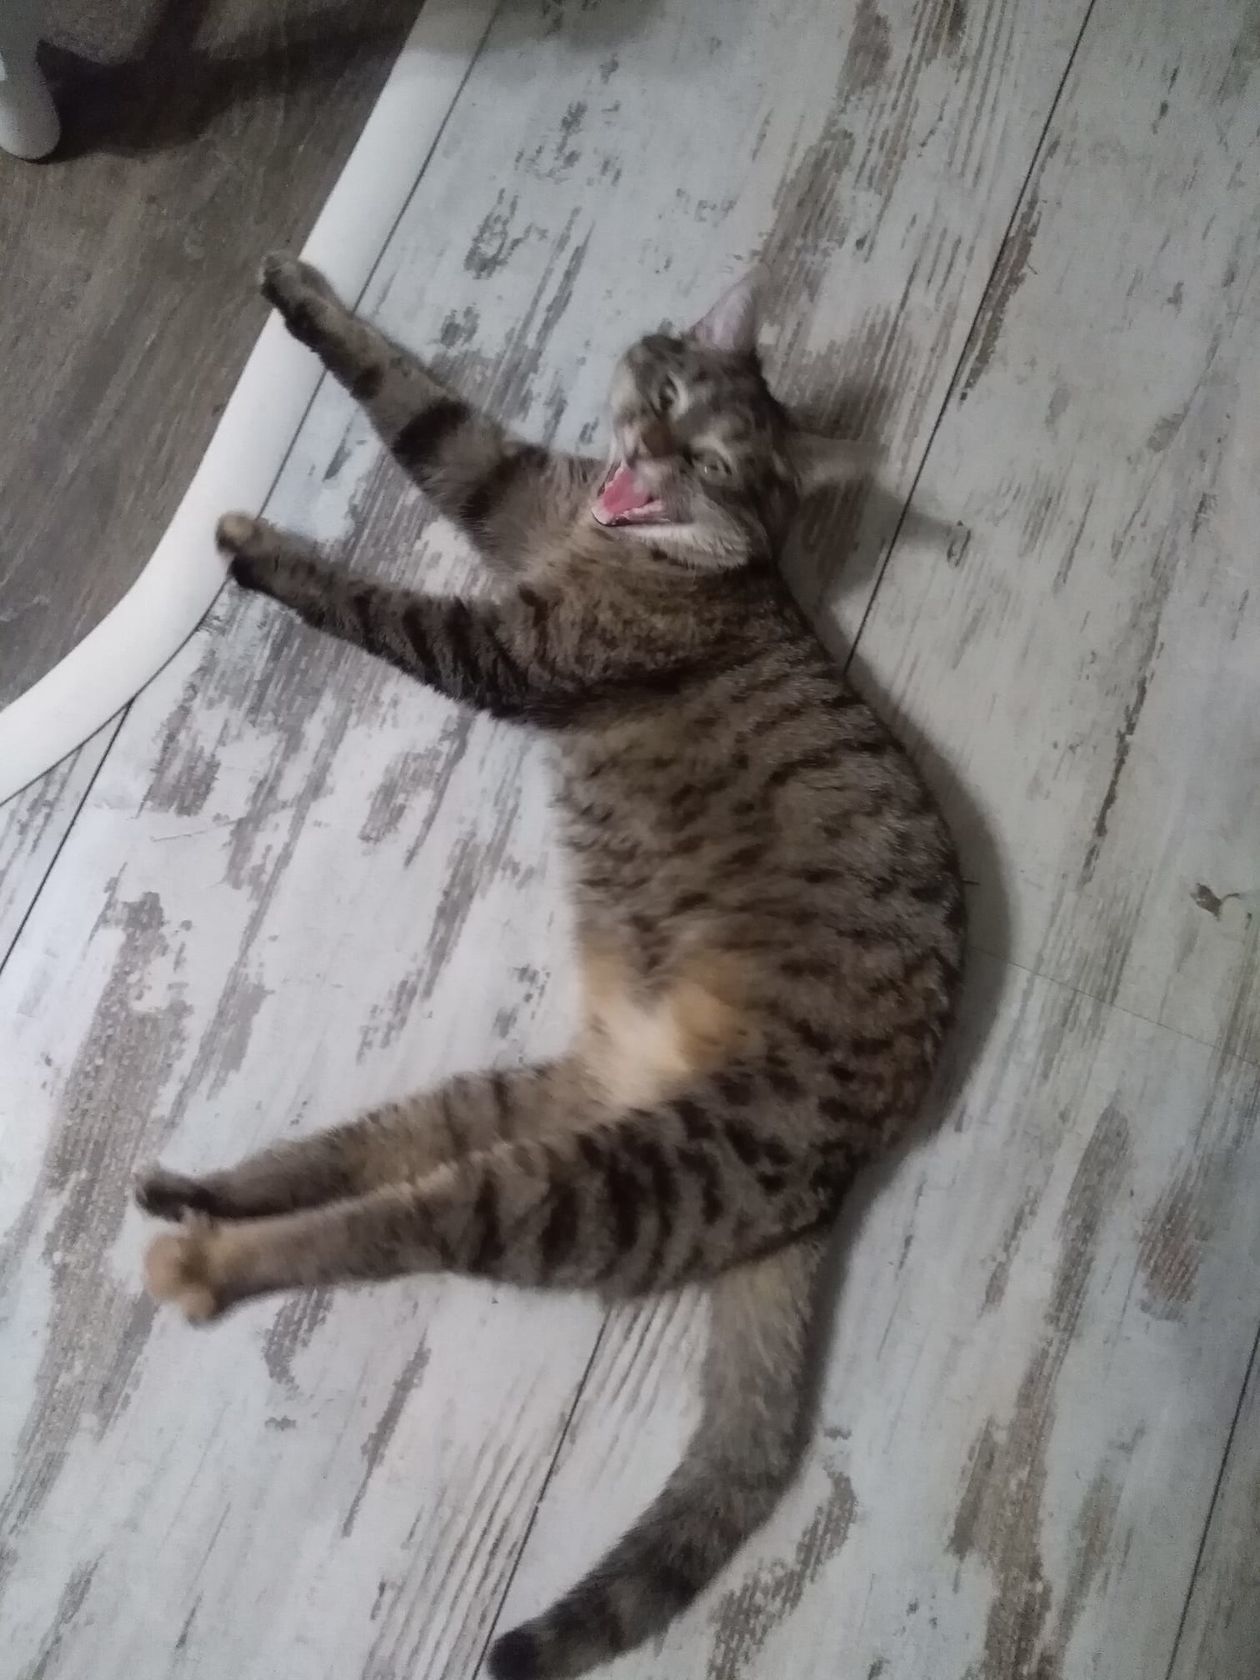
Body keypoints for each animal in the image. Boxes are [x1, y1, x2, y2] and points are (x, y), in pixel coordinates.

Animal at [136, 254, 965, 1679]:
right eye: (672, 400)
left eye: (719, 463)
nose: (652, 450)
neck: (632, 542)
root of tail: (842, 1179)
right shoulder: (514, 485)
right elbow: (419, 404)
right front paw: (303, 293)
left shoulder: (509, 646)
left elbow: (382, 606)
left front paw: (266, 553)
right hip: (519, 1107)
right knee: (364, 1159)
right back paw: (200, 1189)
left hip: (599, 1182)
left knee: (383, 1229)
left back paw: (210, 1263)